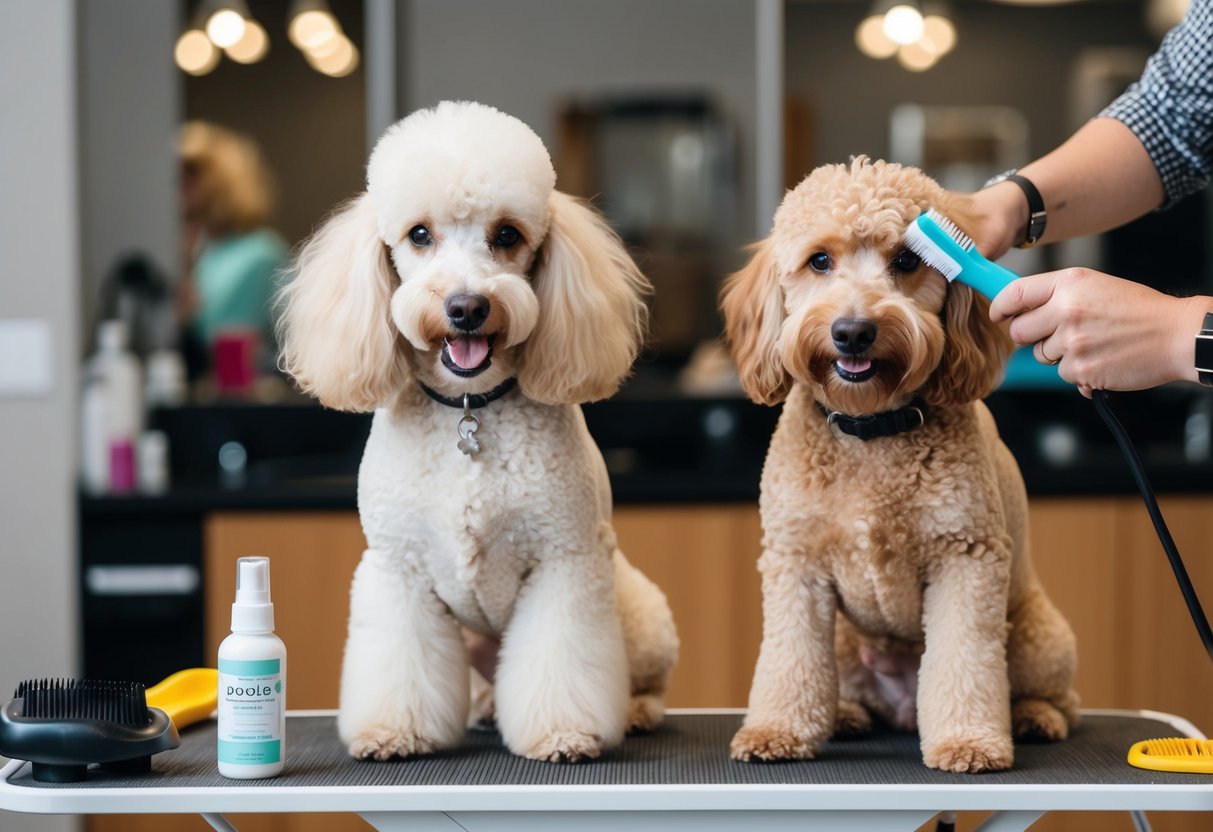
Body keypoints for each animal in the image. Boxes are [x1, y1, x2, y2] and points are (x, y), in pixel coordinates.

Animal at [276, 102, 679, 761]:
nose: (466, 306)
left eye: (507, 235)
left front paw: (564, 732)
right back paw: (487, 708)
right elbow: (400, 663)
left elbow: (561, 662)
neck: (469, 409)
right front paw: (394, 731)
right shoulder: (399, 570)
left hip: (639, 613)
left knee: (644, 681)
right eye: (419, 235)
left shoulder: (565, 562)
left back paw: (635, 711)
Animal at [718, 157, 1081, 776]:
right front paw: (777, 730)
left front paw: (969, 741)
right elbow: (790, 661)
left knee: (1059, 697)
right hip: (844, 638)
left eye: (907, 262)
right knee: (843, 684)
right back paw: (846, 713)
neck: (872, 429)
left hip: (1039, 638)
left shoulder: (967, 559)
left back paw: (1036, 717)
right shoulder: (797, 567)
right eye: (820, 260)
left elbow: (964, 661)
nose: (853, 331)